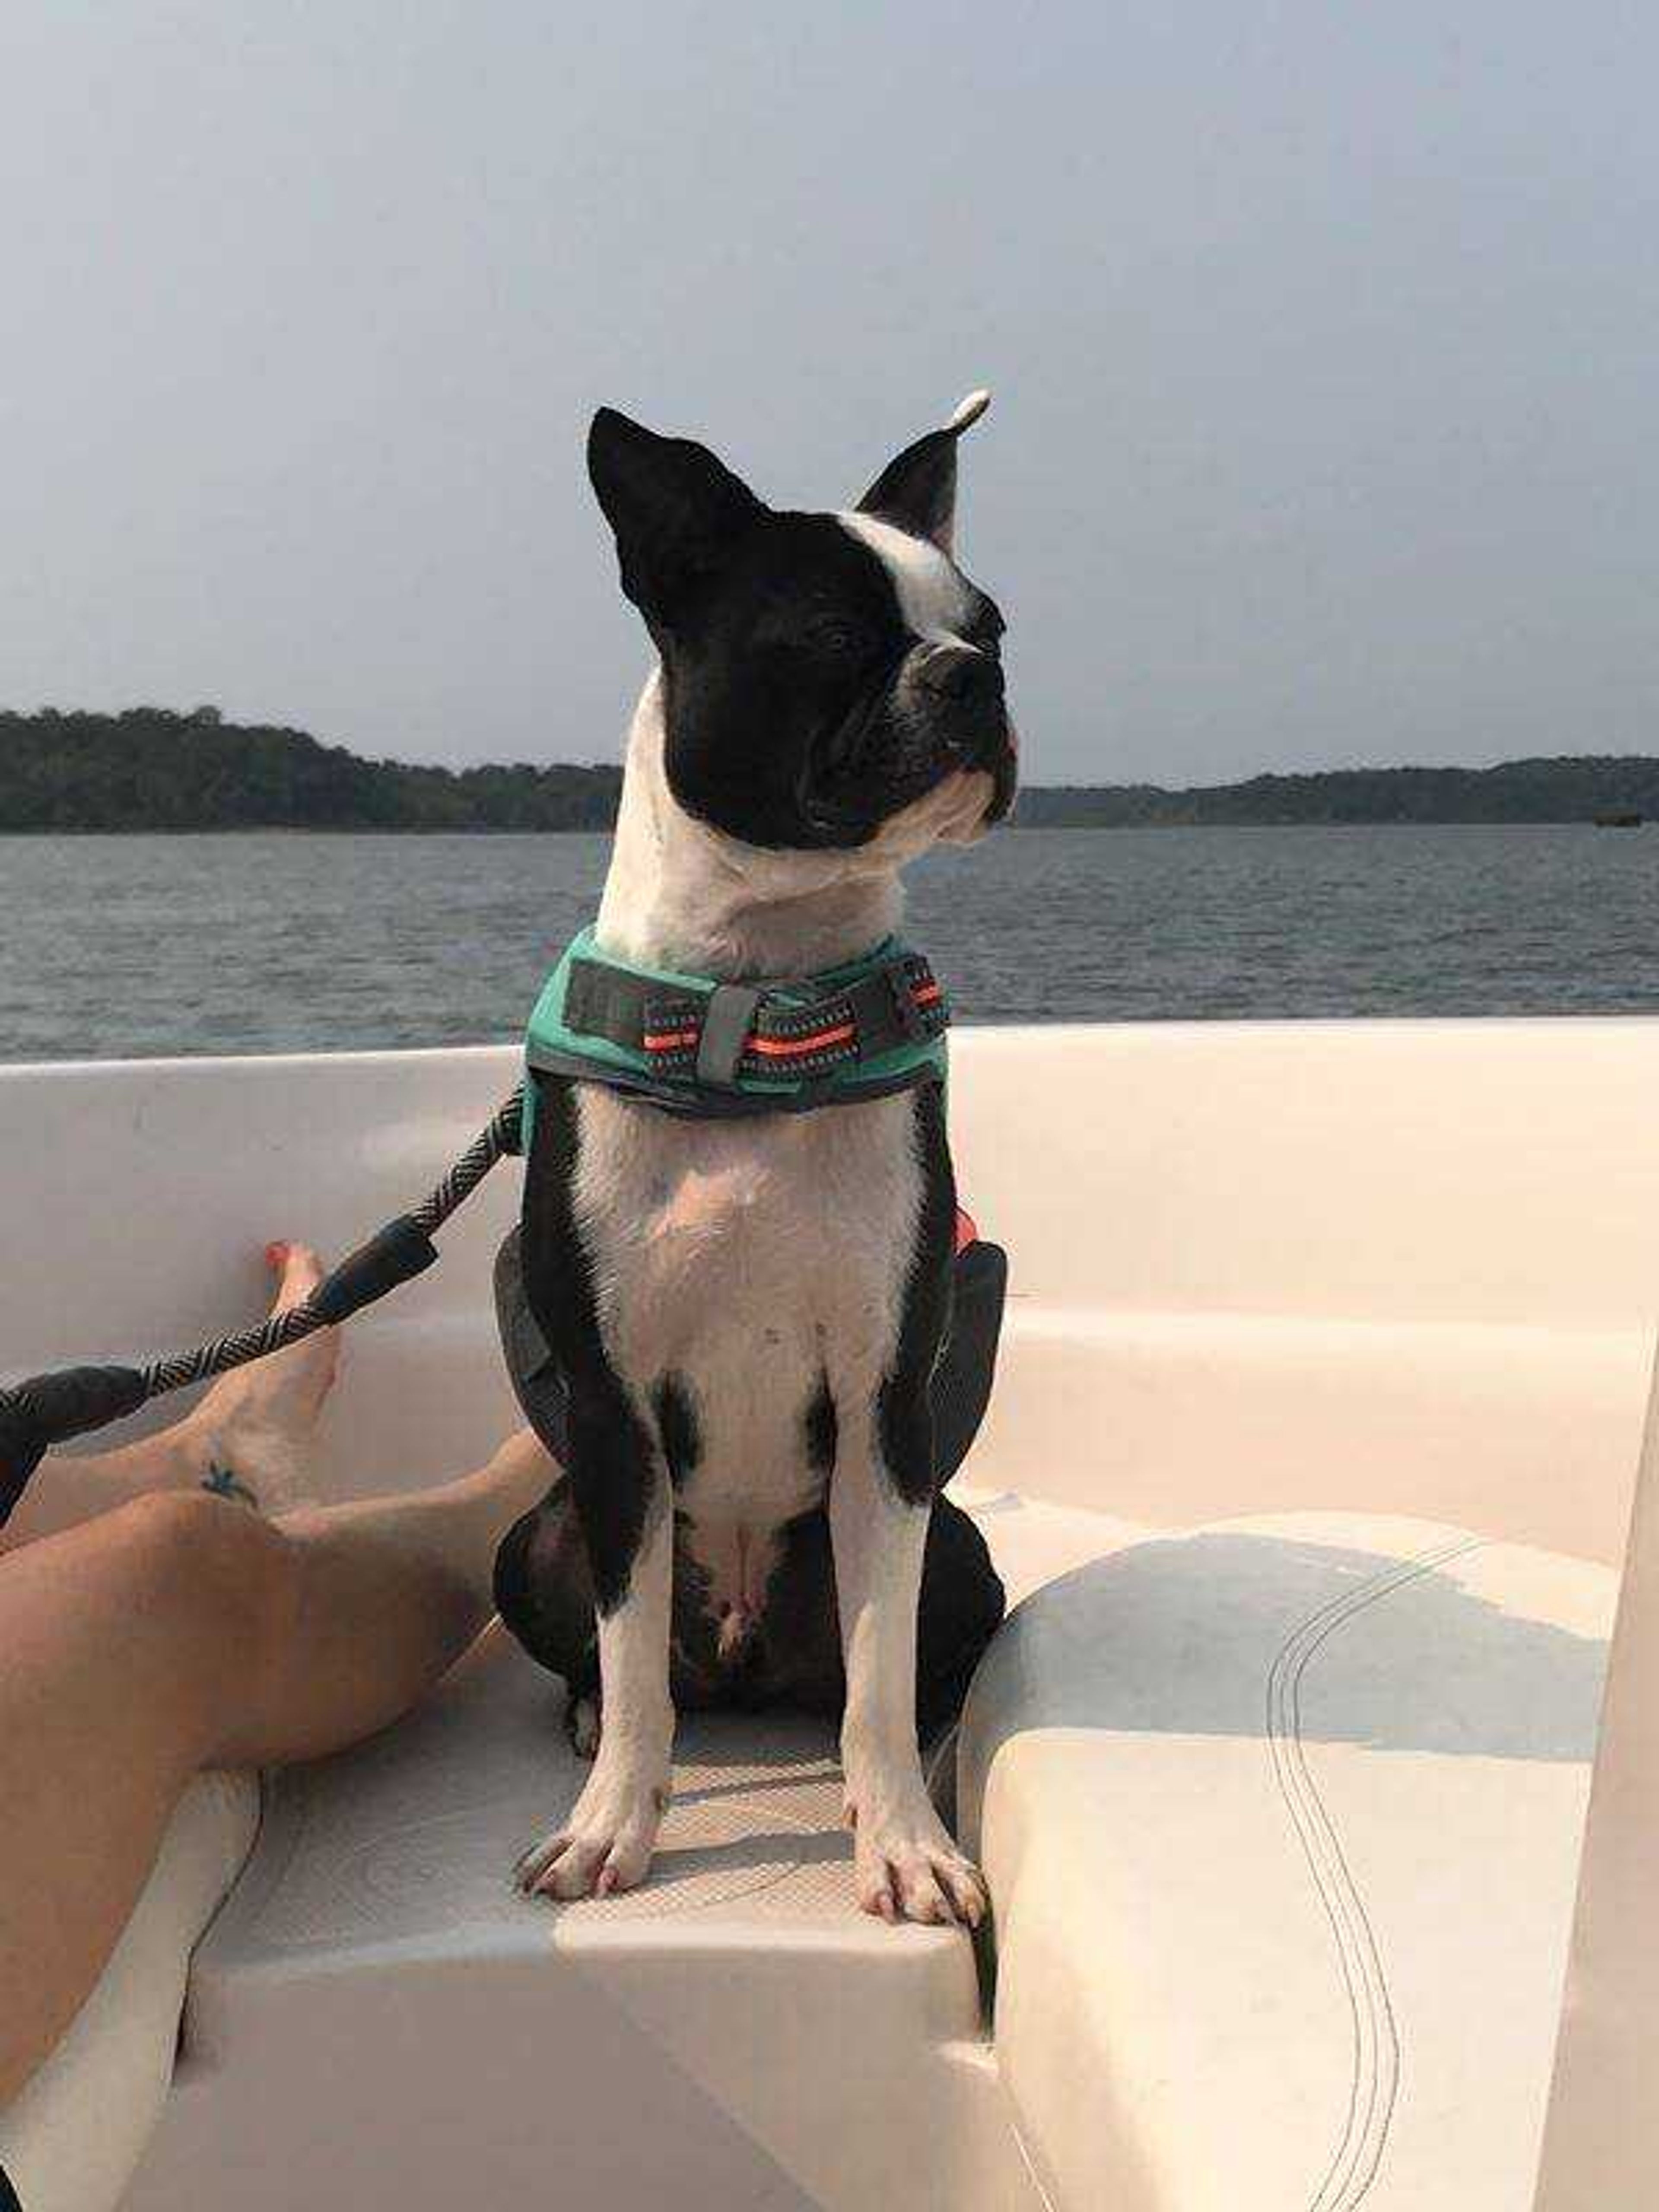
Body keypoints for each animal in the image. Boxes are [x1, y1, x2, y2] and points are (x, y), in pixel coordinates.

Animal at [500, 394, 1022, 1920]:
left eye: (993, 623)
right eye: (831, 635)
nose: (972, 679)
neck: (758, 1011)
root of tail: (739, 1651)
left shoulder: (887, 1407)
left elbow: (876, 1663)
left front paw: (901, 1837)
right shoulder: (613, 1417)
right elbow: (628, 1662)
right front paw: (612, 1822)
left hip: (955, 1536)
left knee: (888, 1658)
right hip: (538, 1530)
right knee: (622, 1659)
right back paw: (589, 1723)